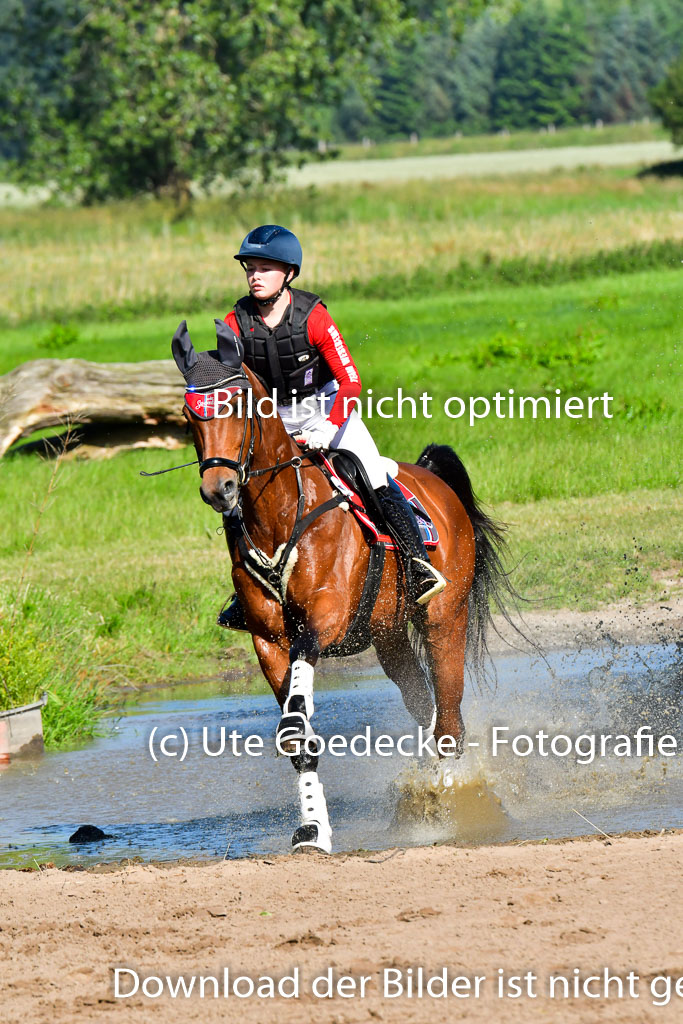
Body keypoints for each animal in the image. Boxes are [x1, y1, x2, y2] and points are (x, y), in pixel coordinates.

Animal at [172, 319, 518, 856]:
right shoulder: (268, 641)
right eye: (191, 416)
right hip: (389, 635)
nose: (220, 491)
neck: (278, 513)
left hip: (444, 619)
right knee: (424, 704)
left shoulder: (323, 621)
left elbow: (296, 717)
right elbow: (299, 738)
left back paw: (446, 801)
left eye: (239, 404)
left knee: (449, 719)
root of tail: (433, 481)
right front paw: (312, 830)